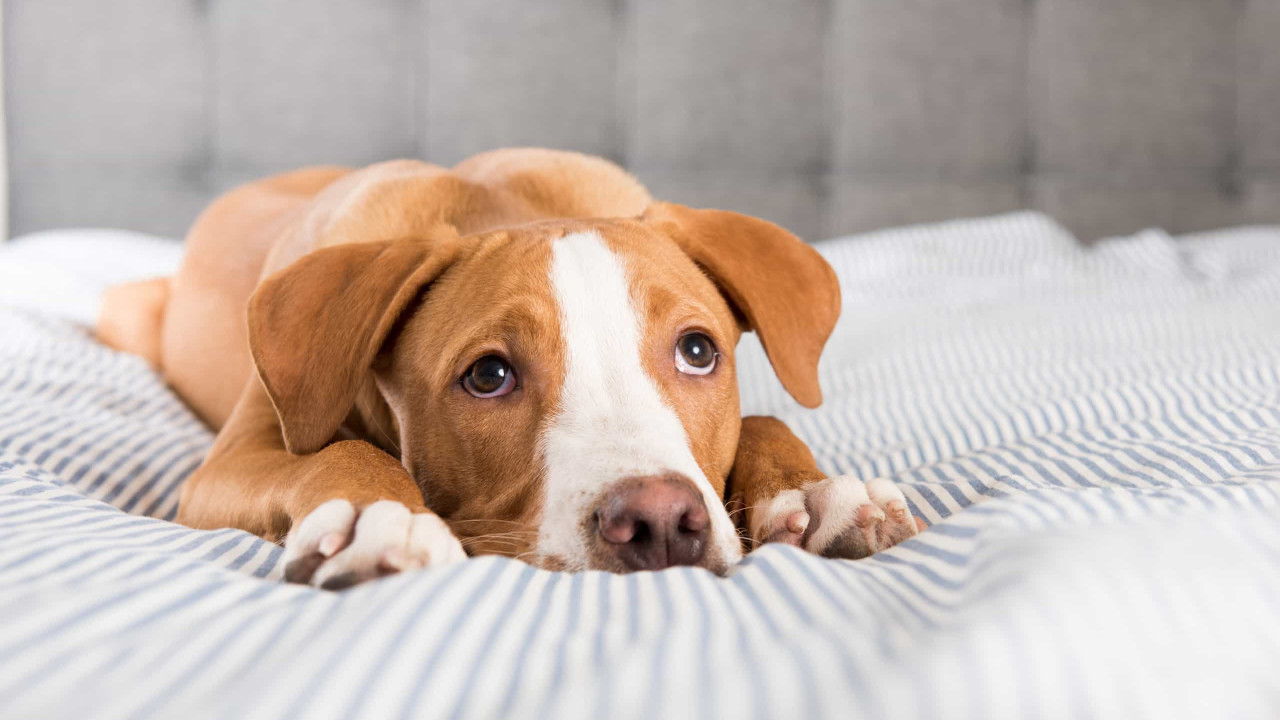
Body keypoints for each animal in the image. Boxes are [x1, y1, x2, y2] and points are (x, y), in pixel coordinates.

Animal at [99, 148, 921, 586]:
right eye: (488, 376)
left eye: (697, 351)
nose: (659, 522)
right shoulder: (231, 462)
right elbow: (335, 451)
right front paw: (378, 514)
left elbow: (763, 414)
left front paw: (813, 491)